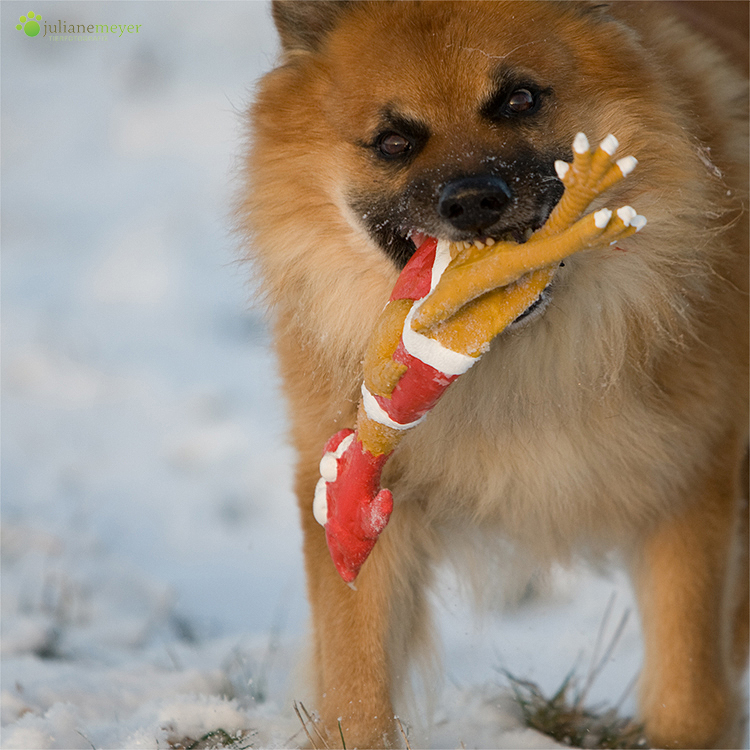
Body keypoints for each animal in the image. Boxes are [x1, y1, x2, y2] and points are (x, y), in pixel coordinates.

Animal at [239, 2, 748, 748]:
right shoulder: (359, 493)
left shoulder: (689, 483)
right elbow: (358, 685)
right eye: (393, 141)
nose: (476, 201)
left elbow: (691, 693)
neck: (514, 364)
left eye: (519, 99)